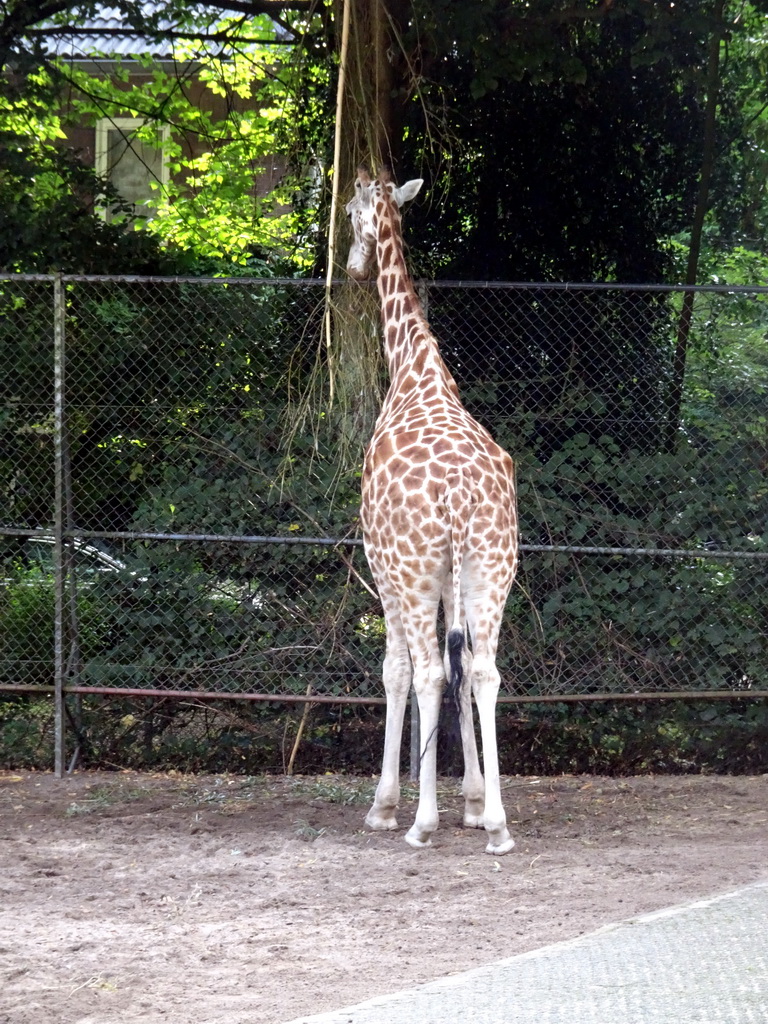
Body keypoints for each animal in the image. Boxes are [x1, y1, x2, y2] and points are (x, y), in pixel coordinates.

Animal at [346, 169, 520, 856]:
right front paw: (469, 802)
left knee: (425, 673)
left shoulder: (385, 565)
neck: (414, 369)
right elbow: (461, 667)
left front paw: (387, 805)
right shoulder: (450, 573)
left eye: (349, 212)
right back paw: (497, 824)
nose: (351, 265)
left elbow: (396, 671)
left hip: (417, 570)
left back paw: (418, 823)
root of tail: (461, 491)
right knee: (485, 671)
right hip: (492, 566)